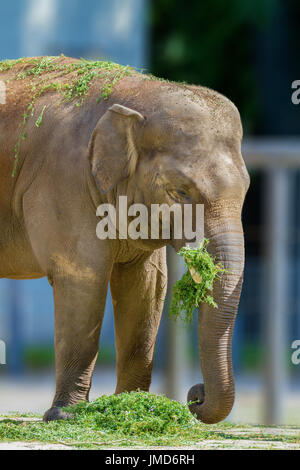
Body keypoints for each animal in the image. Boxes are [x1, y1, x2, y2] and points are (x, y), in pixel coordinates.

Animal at [0, 57, 248, 424]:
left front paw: (134, 407)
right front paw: (66, 417)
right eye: (180, 192)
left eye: (246, 189)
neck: (134, 97)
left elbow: (146, 286)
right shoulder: (65, 181)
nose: (195, 395)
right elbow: (83, 280)